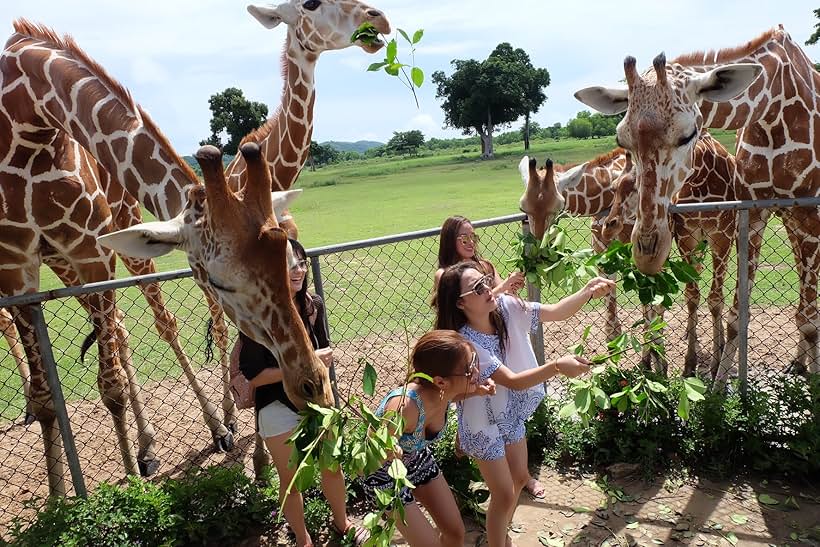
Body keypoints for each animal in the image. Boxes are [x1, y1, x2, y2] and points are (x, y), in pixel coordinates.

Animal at [0, 20, 330, 496]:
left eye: (289, 263)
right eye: (221, 279)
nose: (313, 383)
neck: (26, 118)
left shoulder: (88, 249)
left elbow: (111, 381)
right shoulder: (14, 266)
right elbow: (55, 399)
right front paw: (69, 499)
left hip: (89, 252)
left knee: (130, 329)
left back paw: (175, 439)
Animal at [600, 132, 740, 376]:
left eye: (636, 188)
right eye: (615, 186)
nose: (608, 226)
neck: (701, 179)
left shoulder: (722, 238)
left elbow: (714, 300)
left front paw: (714, 366)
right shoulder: (687, 238)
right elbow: (688, 297)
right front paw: (687, 363)